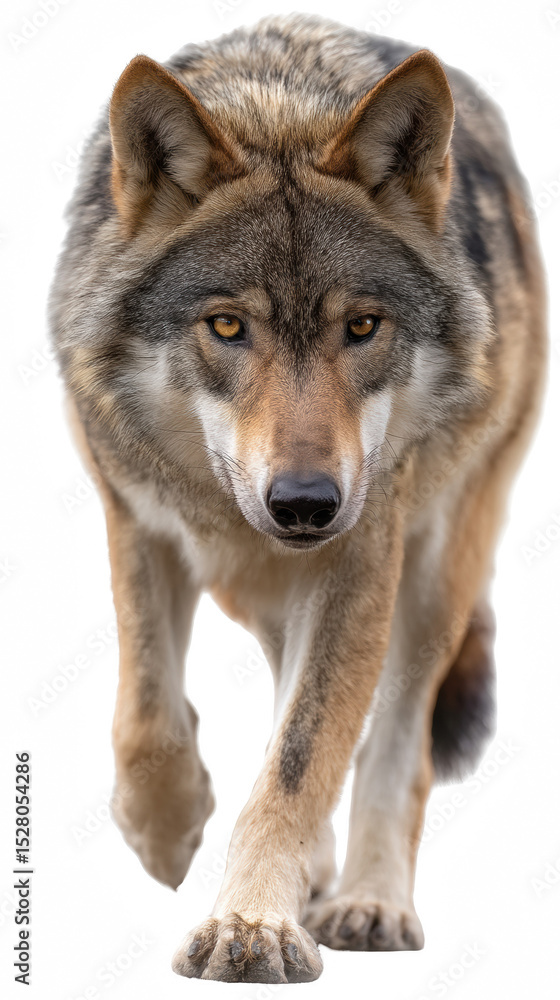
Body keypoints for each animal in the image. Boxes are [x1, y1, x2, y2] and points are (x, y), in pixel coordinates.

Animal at [49, 13, 546, 984]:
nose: (307, 503)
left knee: (395, 744)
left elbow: (303, 757)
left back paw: (368, 902)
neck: (281, 99)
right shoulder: (136, 518)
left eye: (363, 326)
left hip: (435, 571)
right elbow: (148, 718)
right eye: (227, 325)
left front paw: (251, 926)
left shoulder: (360, 559)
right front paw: (167, 832)